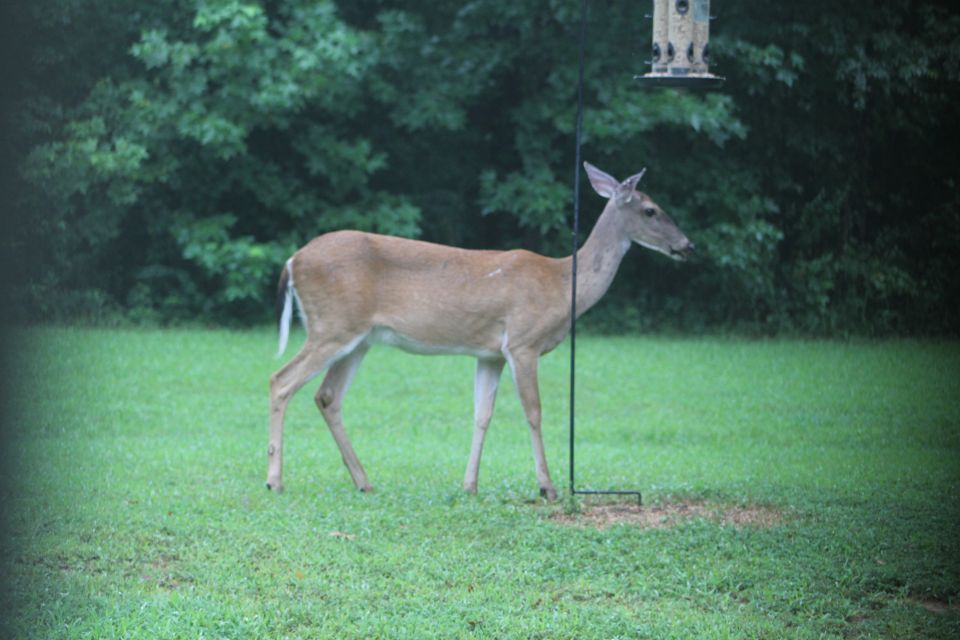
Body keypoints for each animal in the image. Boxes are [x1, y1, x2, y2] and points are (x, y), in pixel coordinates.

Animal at [267, 162, 694, 500]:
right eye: (651, 210)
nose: (688, 246)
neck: (561, 286)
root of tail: (293, 260)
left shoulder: (489, 353)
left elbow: (482, 414)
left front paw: (469, 485)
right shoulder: (522, 342)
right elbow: (534, 412)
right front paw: (548, 487)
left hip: (358, 338)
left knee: (327, 396)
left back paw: (363, 481)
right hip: (332, 327)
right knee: (281, 380)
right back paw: (275, 480)